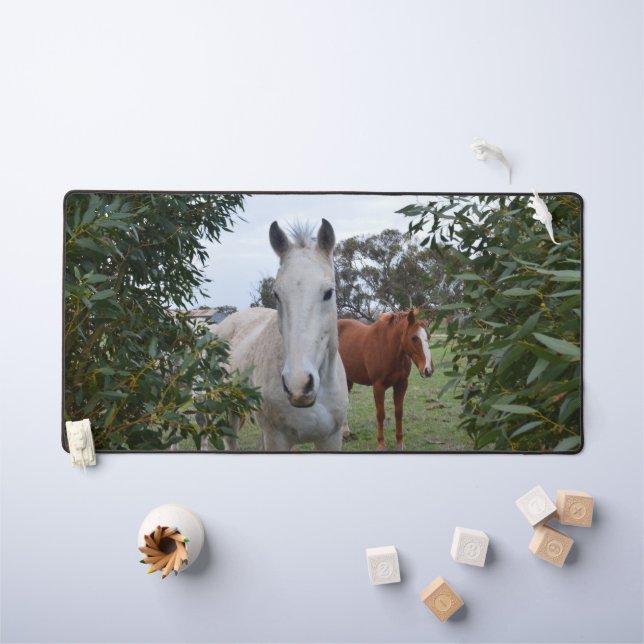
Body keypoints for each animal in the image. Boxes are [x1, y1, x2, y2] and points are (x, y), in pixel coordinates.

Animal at [215, 219, 349, 451]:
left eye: (329, 292)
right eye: (277, 294)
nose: (298, 385)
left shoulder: (330, 439)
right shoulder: (276, 439)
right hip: (229, 408)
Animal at [337, 309, 434, 450]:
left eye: (429, 336)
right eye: (414, 338)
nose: (428, 370)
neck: (388, 348)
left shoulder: (401, 384)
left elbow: (398, 412)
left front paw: (400, 443)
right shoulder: (378, 386)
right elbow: (380, 414)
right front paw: (381, 443)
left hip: (347, 378)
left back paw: (345, 432)